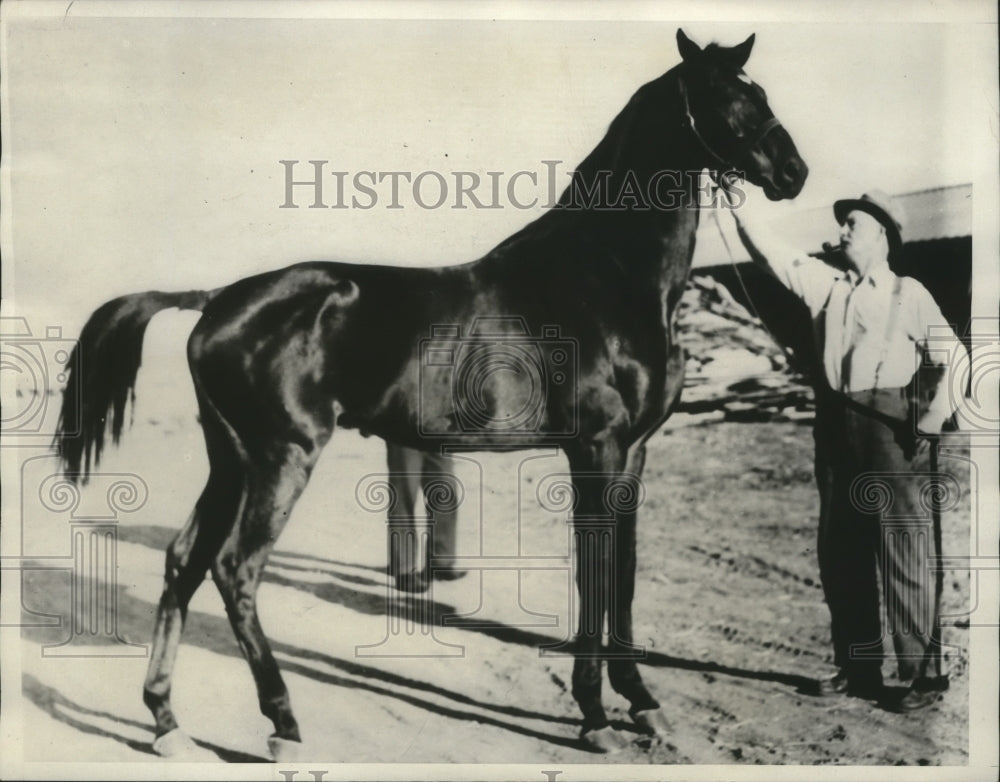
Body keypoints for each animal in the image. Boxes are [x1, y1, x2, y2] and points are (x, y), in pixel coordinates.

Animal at [52, 29, 804, 760]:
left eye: (760, 89)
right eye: (724, 95)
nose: (793, 173)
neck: (602, 279)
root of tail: (215, 300)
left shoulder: (636, 452)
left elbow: (623, 569)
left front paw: (643, 704)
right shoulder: (596, 448)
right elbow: (593, 572)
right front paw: (593, 715)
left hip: (230, 460)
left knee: (184, 561)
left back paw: (167, 722)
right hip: (281, 457)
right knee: (236, 569)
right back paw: (283, 722)